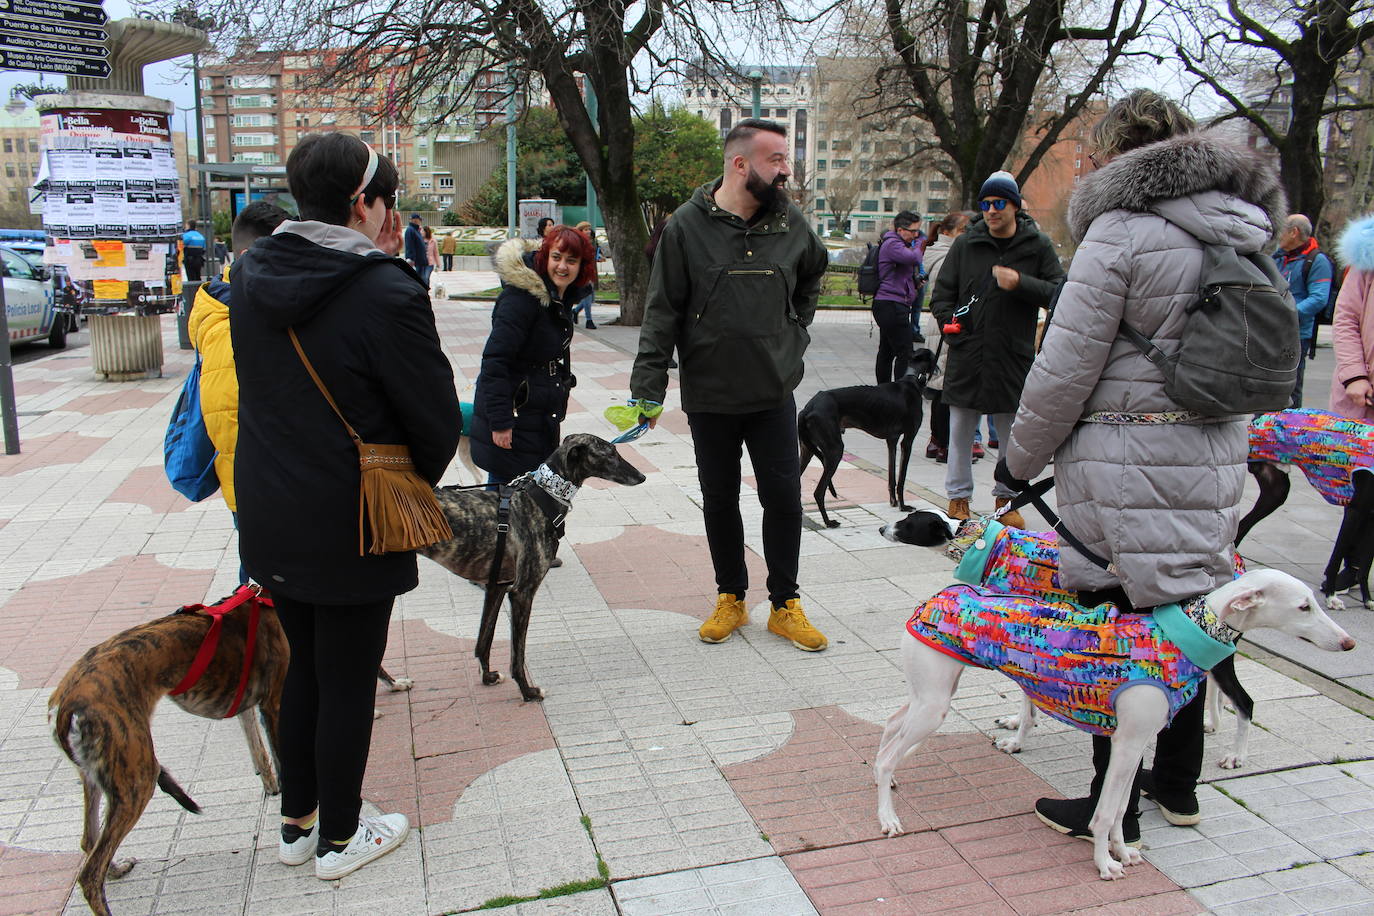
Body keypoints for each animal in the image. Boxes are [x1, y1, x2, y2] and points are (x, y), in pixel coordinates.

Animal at [873, 519, 1357, 878]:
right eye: (1304, 606)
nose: (1349, 643)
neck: (1179, 637)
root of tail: (936, 596)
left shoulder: (1136, 742)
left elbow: (1122, 804)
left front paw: (1122, 852)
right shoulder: (1125, 743)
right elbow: (1105, 811)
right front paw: (1105, 863)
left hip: (931, 693)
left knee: (892, 727)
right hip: (934, 703)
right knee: (889, 752)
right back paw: (888, 818)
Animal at [1242, 409, 1374, 609]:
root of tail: (1261, 417)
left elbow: (1365, 566)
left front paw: (1368, 600)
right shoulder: (1354, 511)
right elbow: (1336, 558)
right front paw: (1331, 597)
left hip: (1276, 492)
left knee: (1241, 527)